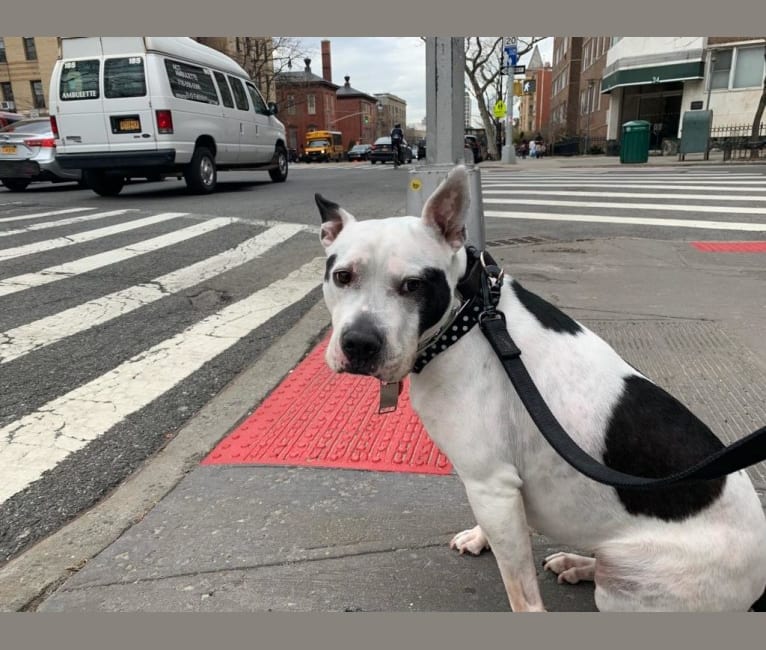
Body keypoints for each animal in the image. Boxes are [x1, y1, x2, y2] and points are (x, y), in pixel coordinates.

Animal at [314, 165, 766, 612]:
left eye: (413, 285)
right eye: (342, 276)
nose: (360, 344)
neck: (468, 314)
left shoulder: (491, 483)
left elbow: (521, 591)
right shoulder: (494, 488)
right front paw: (480, 537)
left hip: (631, 583)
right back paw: (580, 563)